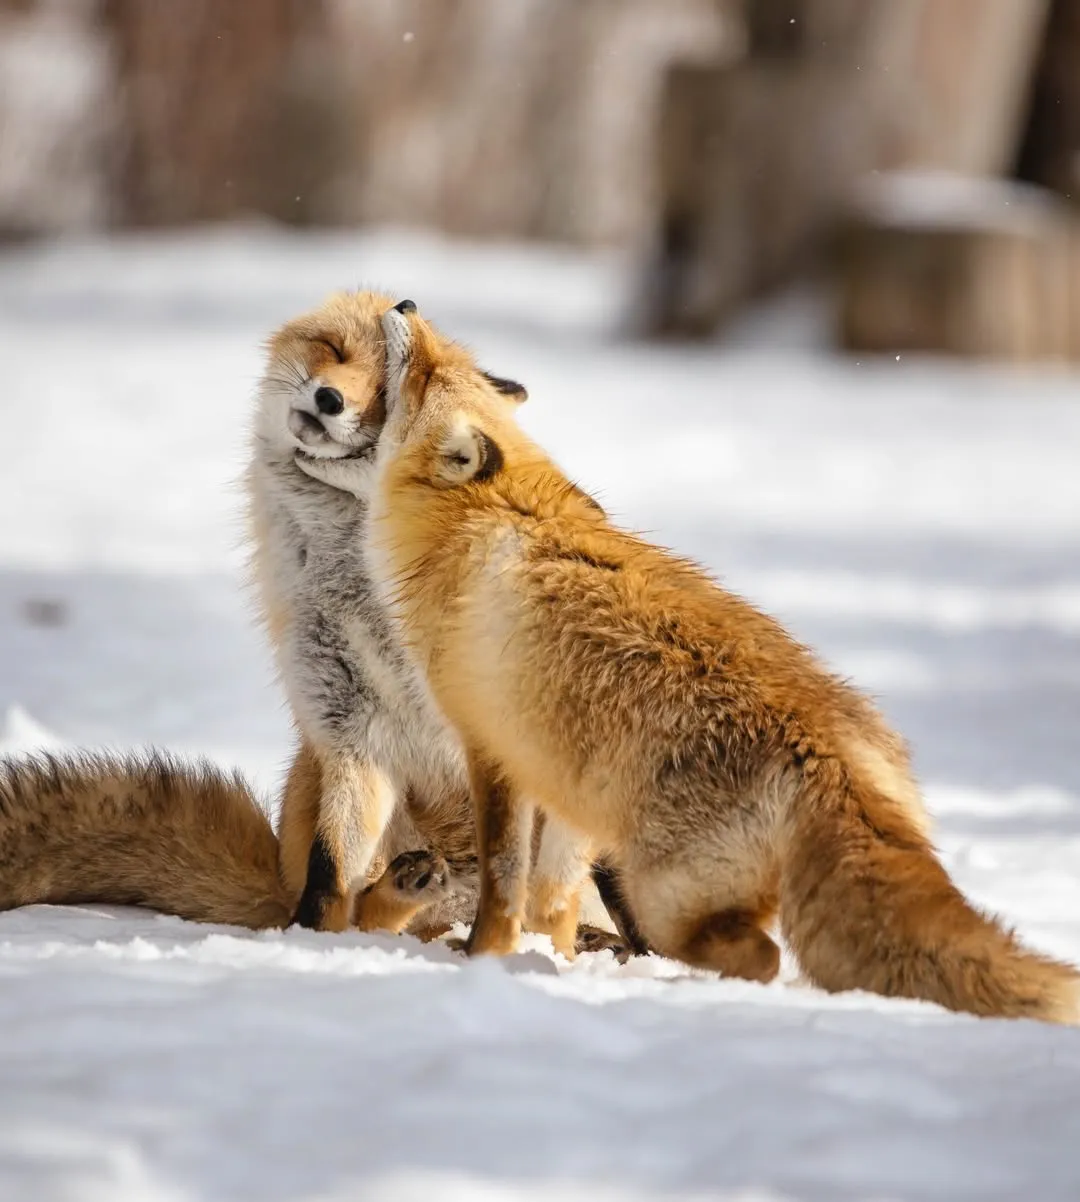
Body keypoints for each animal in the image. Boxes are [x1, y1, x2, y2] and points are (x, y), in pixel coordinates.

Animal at [297, 297, 1080, 1024]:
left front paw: (485, 959)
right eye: (444, 357)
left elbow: (502, 883)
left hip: (664, 895)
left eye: (425, 374)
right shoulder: (561, 774)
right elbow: (552, 894)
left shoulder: (493, 750)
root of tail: (826, 747)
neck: (488, 514)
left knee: (760, 954)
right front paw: (549, 958)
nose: (404, 305)